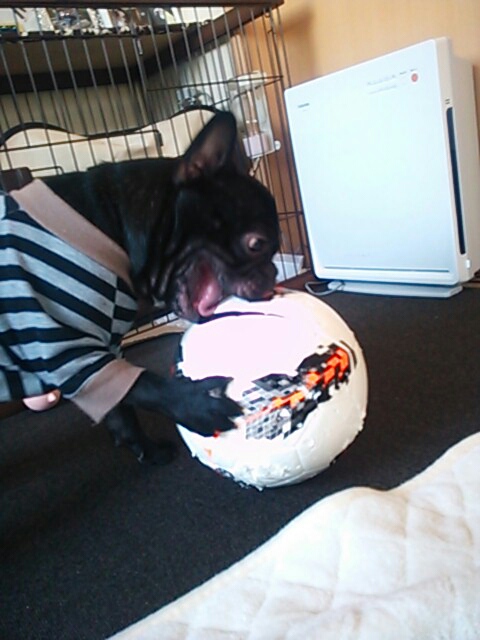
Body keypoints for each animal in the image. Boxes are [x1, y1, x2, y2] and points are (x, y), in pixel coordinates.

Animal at [0, 111, 280, 463]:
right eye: (257, 245)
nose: (273, 272)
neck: (110, 225)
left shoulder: (104, 345)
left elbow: (121, 409)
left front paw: (146, 449)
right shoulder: (62, 346)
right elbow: (143, 384)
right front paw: (194, 404)